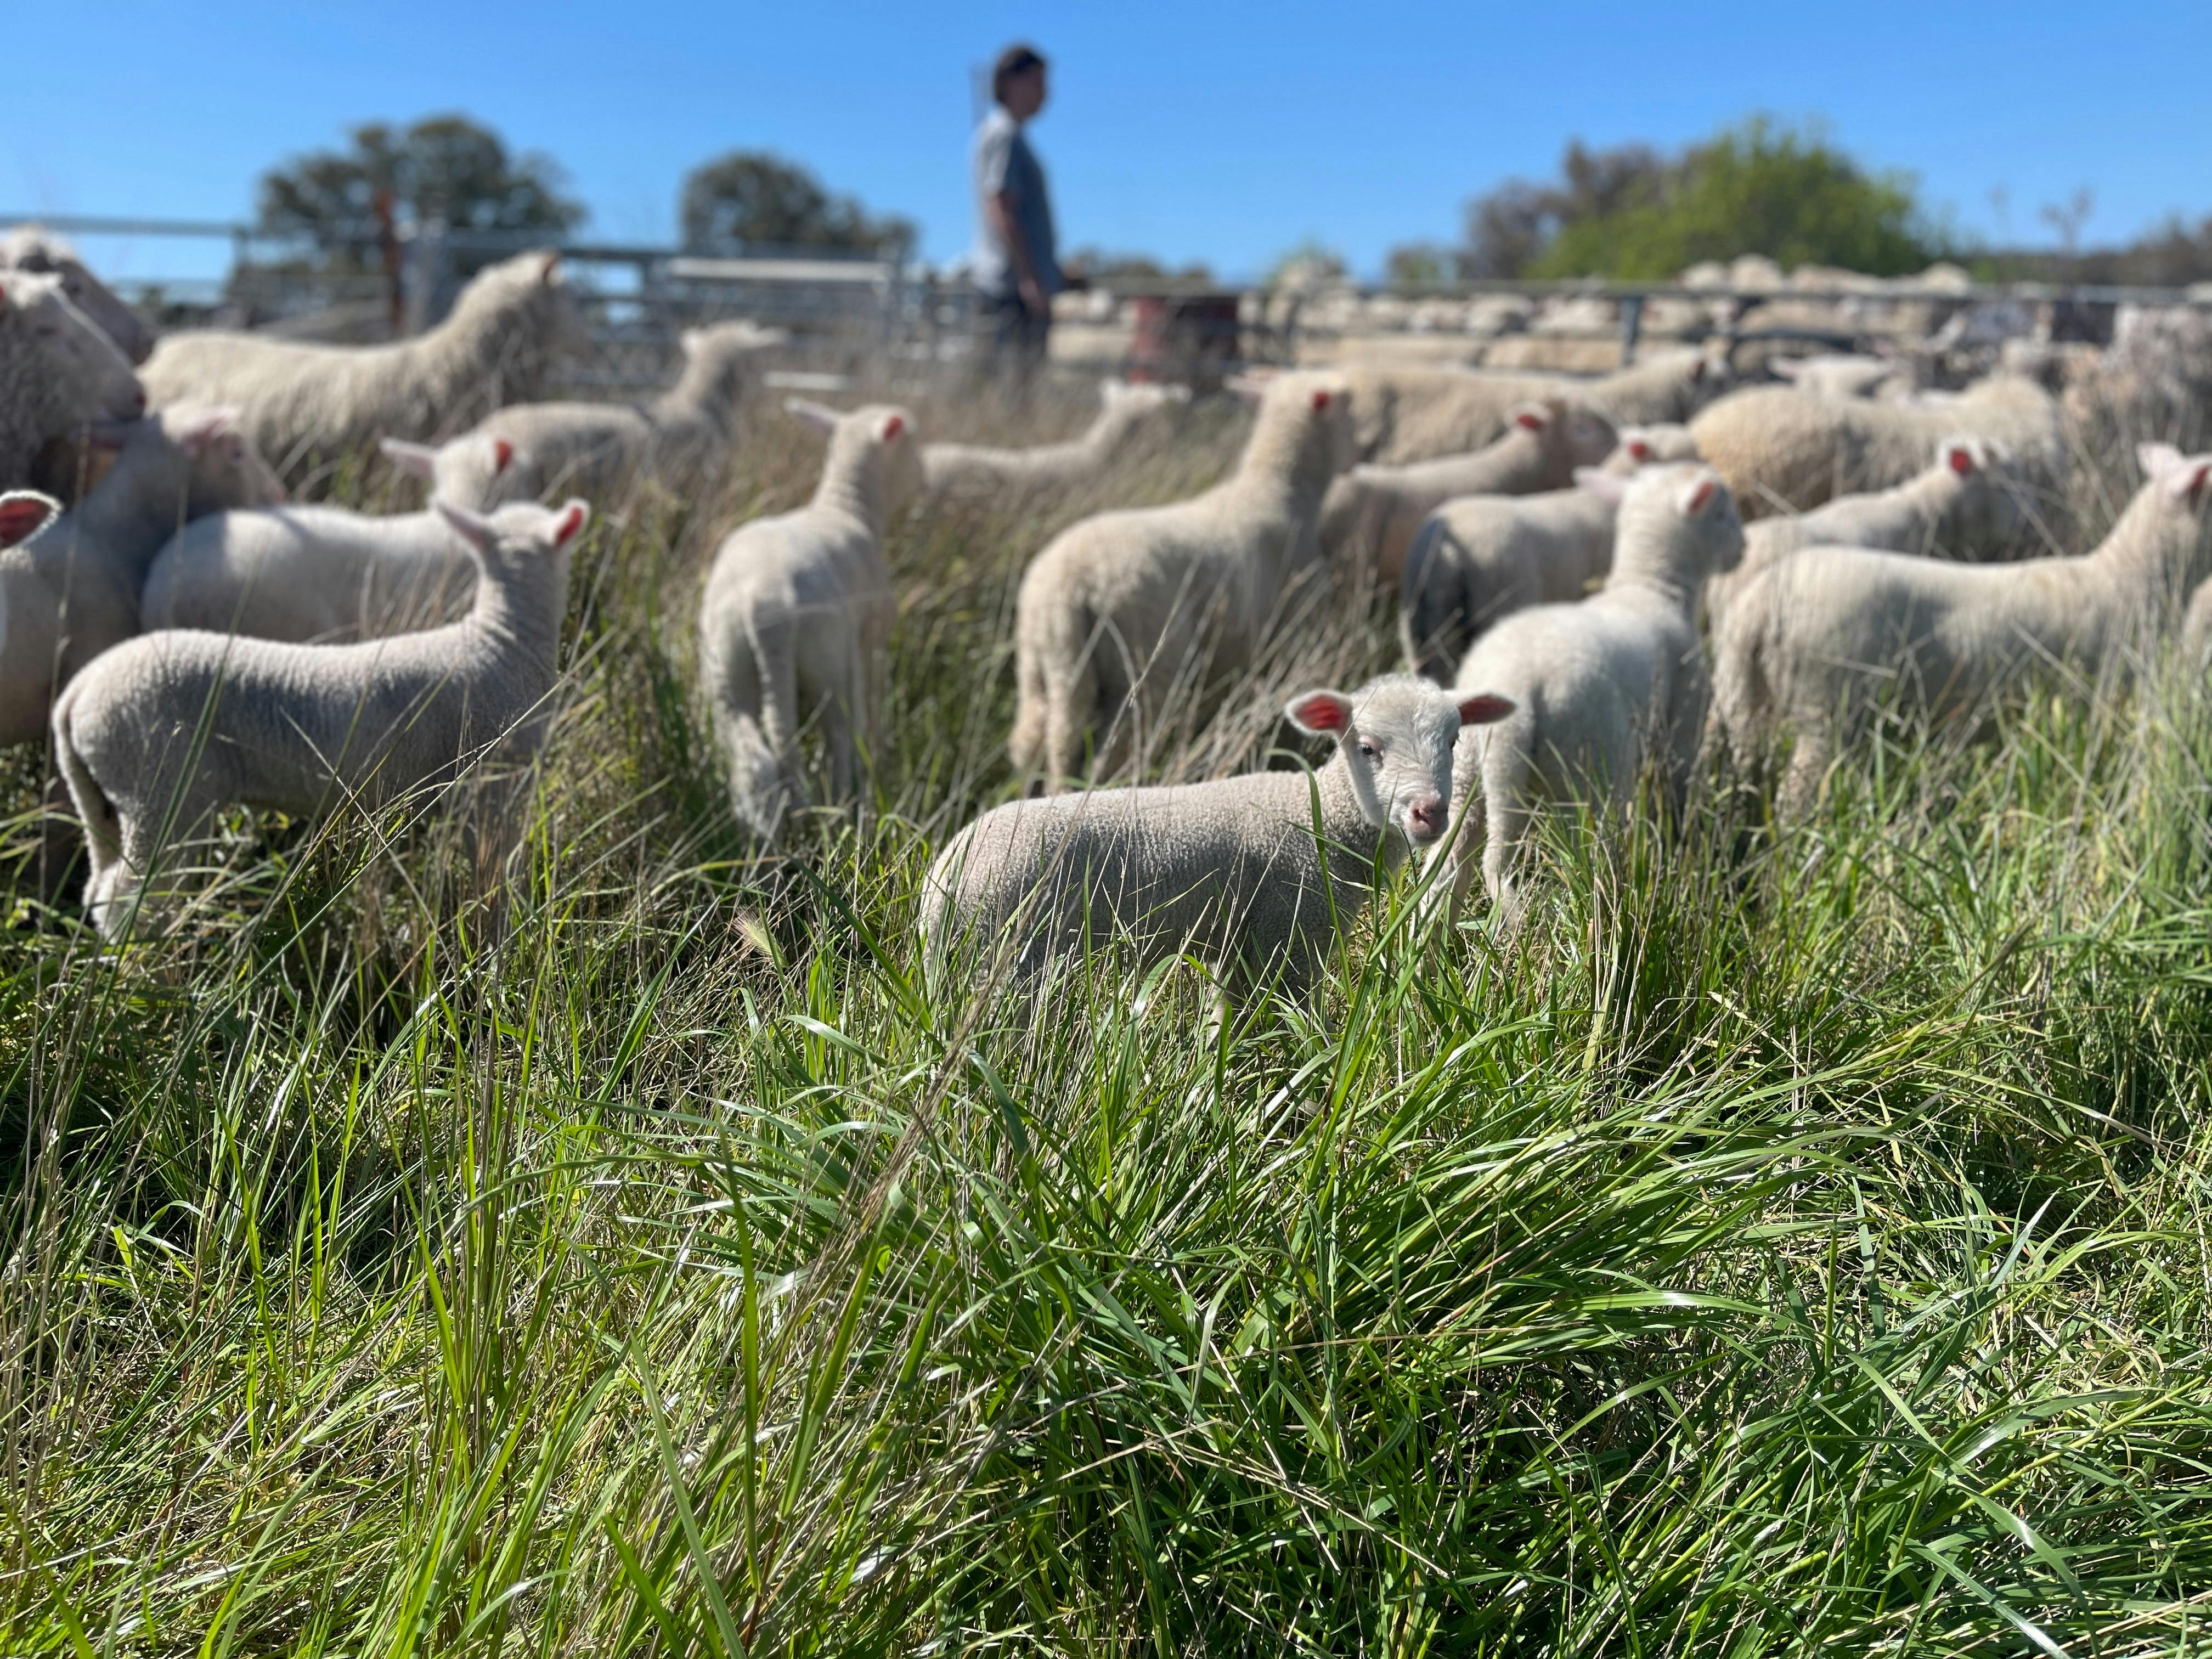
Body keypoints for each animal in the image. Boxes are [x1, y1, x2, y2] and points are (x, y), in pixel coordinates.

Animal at [52, 496, 589, 939]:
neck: (501, 643)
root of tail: (78, 693)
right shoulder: (497, 784)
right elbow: (496, 877)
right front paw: (502, 940)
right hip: (160, 787)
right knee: (133, 898)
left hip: (107, 791)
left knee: (101, 886)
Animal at [698, 400, 922, 843]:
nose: (924, 483)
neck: (848, 505)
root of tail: (765, 608)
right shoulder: (872, 639)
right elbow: (872, 706)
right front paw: (880, 755)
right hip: (826, 659)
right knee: (838, 734)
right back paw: (839, 809)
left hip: (725, 666)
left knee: (756, 761)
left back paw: (763, 844)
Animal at [921, 674, 1514, 997]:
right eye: (1367, 748)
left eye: (1455, 740)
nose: (1429, 813)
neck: (1324, 817)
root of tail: (943, 875)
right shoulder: (1290, 937)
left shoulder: (1238, 948)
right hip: (1005, 958)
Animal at [1008, 371, 1354, 789]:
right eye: (1350, 409)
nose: (1360, 457)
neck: (1279, 492)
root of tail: (1069, 585)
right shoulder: (1291, 628)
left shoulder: (1226, 655)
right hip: (1144, 666)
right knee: (1116, 750)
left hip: (1045, 659)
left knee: (1040, 737)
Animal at [1421, 464, 1746, 923]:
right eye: (1722, 514)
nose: (1743, 548)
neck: (1651, 587)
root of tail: (1517, 689)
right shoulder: (1686, 714)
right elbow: (1680, 789)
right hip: (1586, 773)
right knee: (1558, 861)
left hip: (1466, 772)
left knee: (1444, 872)